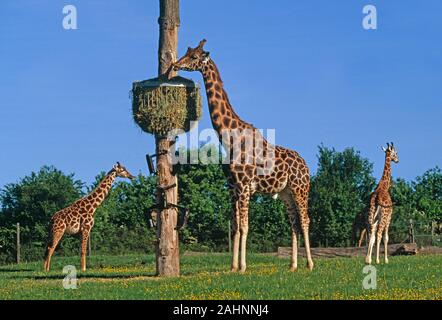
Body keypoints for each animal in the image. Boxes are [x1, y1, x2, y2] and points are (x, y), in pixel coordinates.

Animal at [173, 38, 314, 272]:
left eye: (193, 56)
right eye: (187, 51)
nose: (175, 64)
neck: (229, 137)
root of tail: (307, 166)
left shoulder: (245, 186)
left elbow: (245, 227)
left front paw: (243, 267)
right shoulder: (232, 188)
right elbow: (235, 227)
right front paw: (233, 267)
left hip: (300, 189)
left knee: (305, 221)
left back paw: (310, 264)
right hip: (286, 193)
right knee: (293, 224)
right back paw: (293, 266)